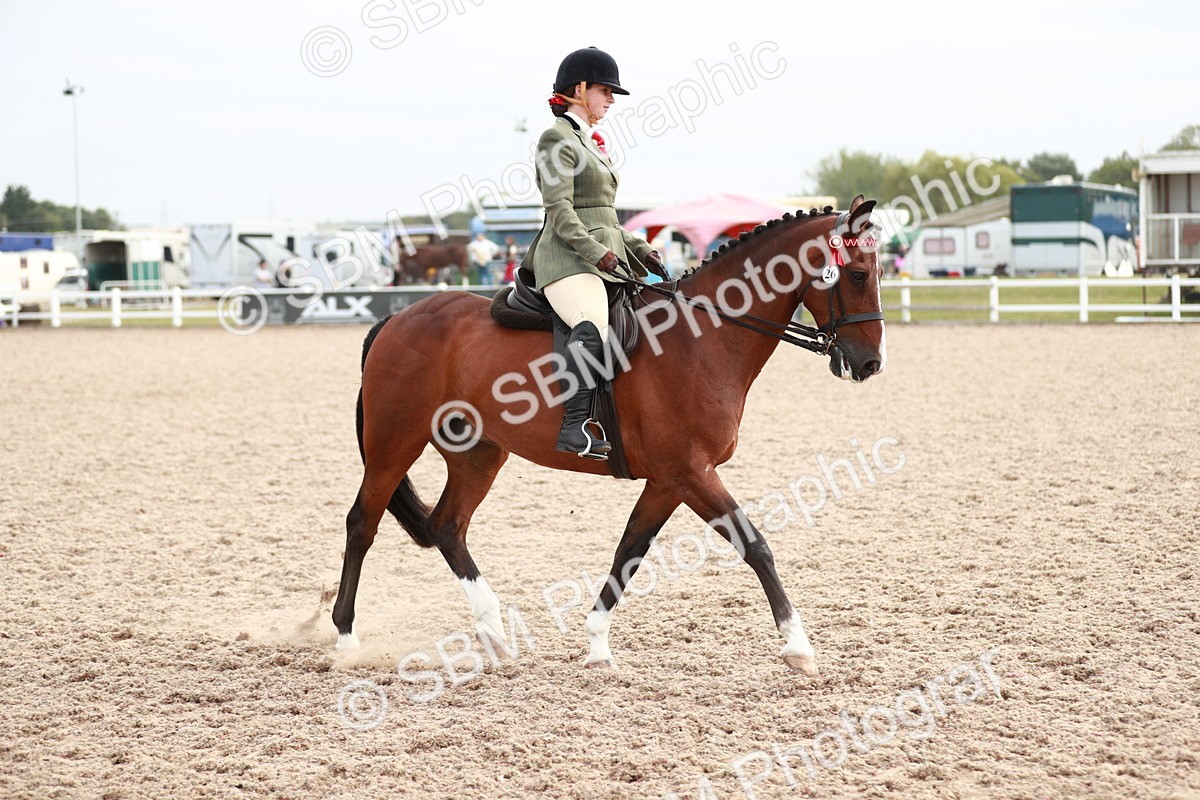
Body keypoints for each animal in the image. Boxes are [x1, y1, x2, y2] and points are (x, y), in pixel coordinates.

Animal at [335, 196, 885, 676]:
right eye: (858, 274)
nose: (870, 365)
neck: (701, 339)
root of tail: (397, 317)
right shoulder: (691, 472)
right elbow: (755, 546)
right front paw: (799, 647)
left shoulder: (669, 480)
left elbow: (629, 552)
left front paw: (597, 645)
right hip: (395, 442)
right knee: (363, 522)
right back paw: (345, 638)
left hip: (479, 453)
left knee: (447, 525)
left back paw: (493, 632)